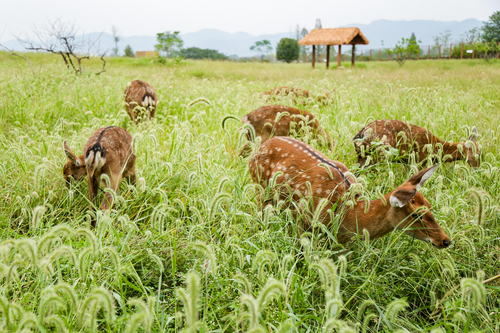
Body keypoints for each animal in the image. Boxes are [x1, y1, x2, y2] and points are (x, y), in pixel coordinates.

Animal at [249, 136, 450, 248]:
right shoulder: (305, 219)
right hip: (260, 190)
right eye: (416, 215)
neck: (348, 214)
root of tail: (262, 144)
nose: (446, 241)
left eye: (430, 206)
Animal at [352, 118, 480, 167]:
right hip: (379, 156)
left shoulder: (408, 162)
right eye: (479, 154)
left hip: (362, 157)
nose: (479, 168)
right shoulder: (420, 160)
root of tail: (361, 133)